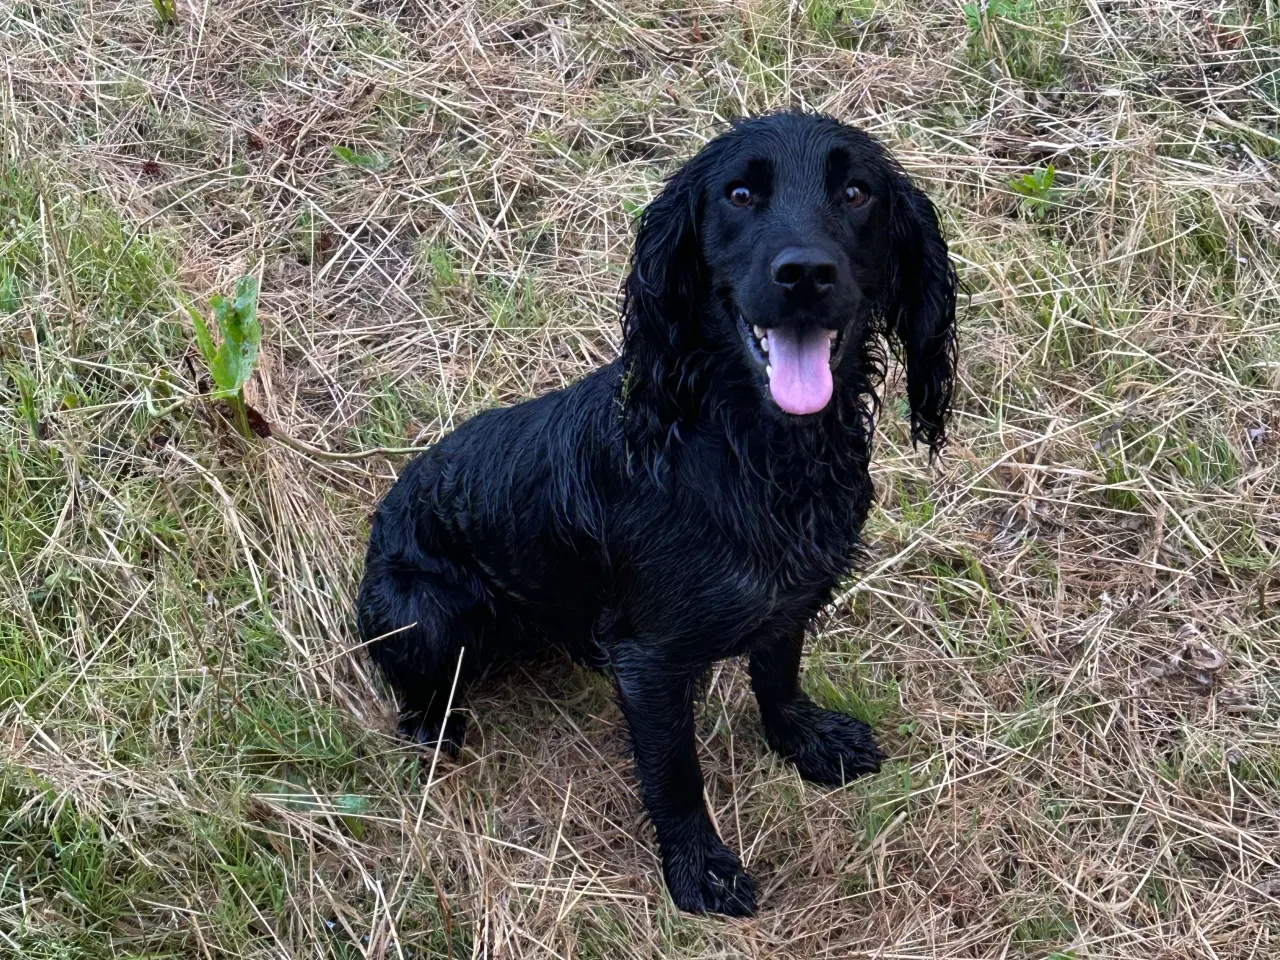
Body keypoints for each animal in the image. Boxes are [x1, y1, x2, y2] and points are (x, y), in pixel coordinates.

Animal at [355, 110, 957, 916]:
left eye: (857, 192)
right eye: (740, 193)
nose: (804, 273)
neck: (757, 453)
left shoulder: (789, 598)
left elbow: (779, 677)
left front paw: (805, 742)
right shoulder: (649, 664)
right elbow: (676, 777)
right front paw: (699, 869)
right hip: (426, 618)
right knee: (418, 694)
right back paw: (436, 732)